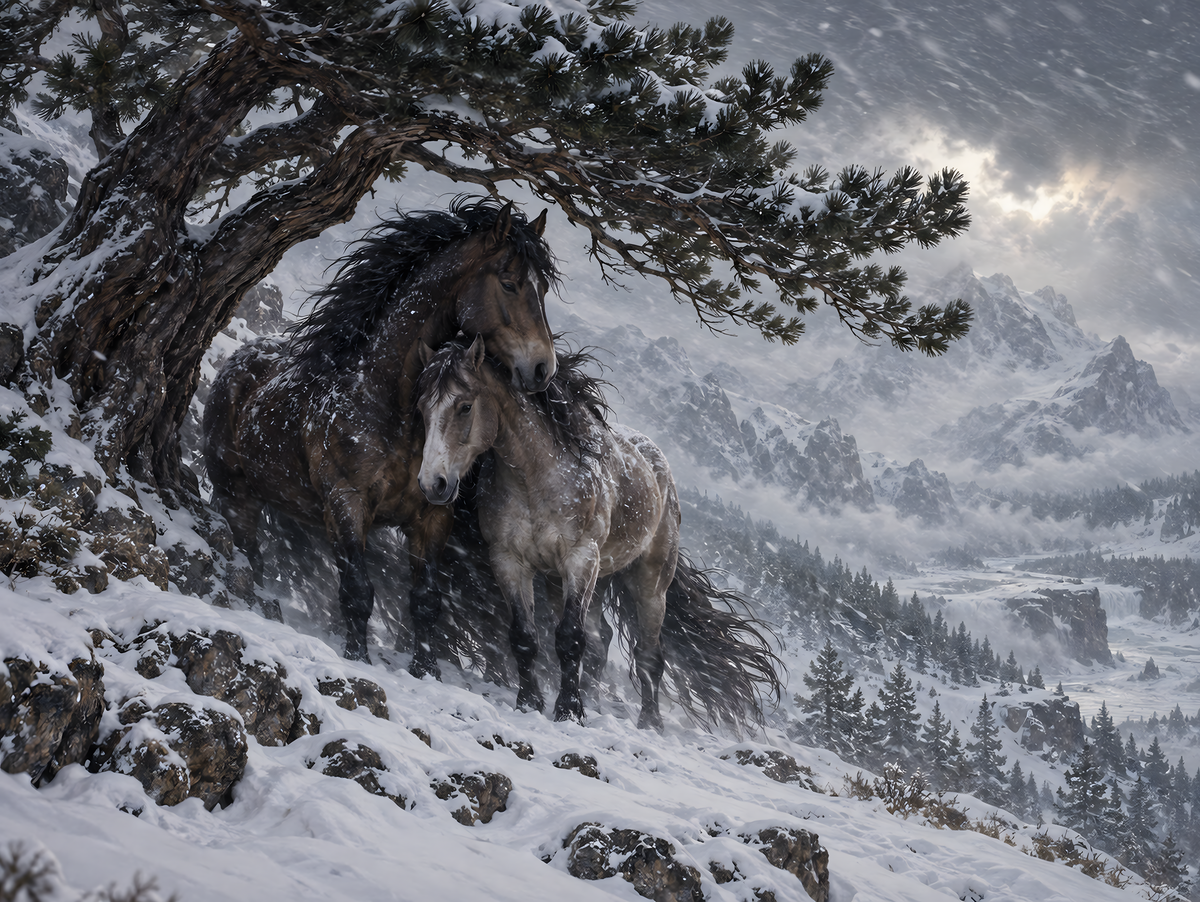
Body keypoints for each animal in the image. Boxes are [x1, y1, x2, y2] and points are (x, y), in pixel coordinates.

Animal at [202, 198, 557, 669]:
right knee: (250, 557)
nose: (543, 369)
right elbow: (357, 592)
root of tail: (236, 366)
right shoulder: (346, 504)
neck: (383, 402)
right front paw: (357, 658)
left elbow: (426, 601)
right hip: (236, 496)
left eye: (544, 289)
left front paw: (426, 672)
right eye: (510, 283)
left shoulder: (433, 515)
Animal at [415, 337, 784, 730]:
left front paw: (568, 711)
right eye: (422, 407)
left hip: (648, 582)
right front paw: (530, 702)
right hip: (577, 578)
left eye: (465, 406)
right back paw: (594, 699)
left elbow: (569, 638)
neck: (535, 478)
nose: (433, 484)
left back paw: (649, 721)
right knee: (600, 640)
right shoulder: (509, 560)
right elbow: (525, 636)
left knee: (648, 653)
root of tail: (659, 465)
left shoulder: (580, 559)